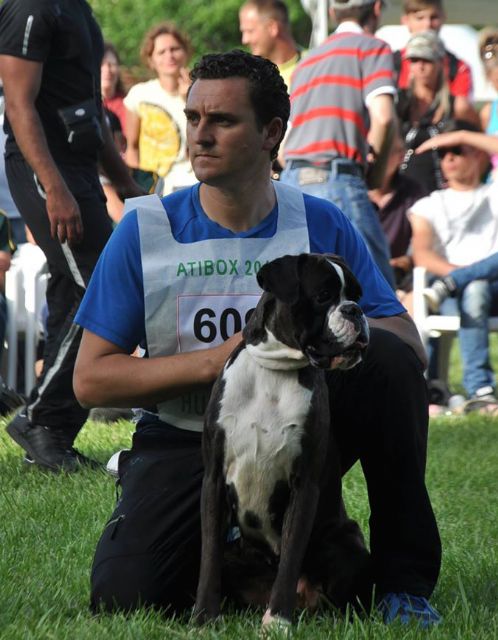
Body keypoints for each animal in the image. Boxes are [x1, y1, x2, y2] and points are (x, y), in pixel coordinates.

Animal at [194, 252, 370, 628]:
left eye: (356, 295)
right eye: (323, 295)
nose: (355, 311)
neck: (275, 371)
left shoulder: (304, 488)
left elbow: (290, 559)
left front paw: (277, 621)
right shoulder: (213, 481)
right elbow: (209, 557)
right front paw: (203, 617)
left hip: (350, 544)